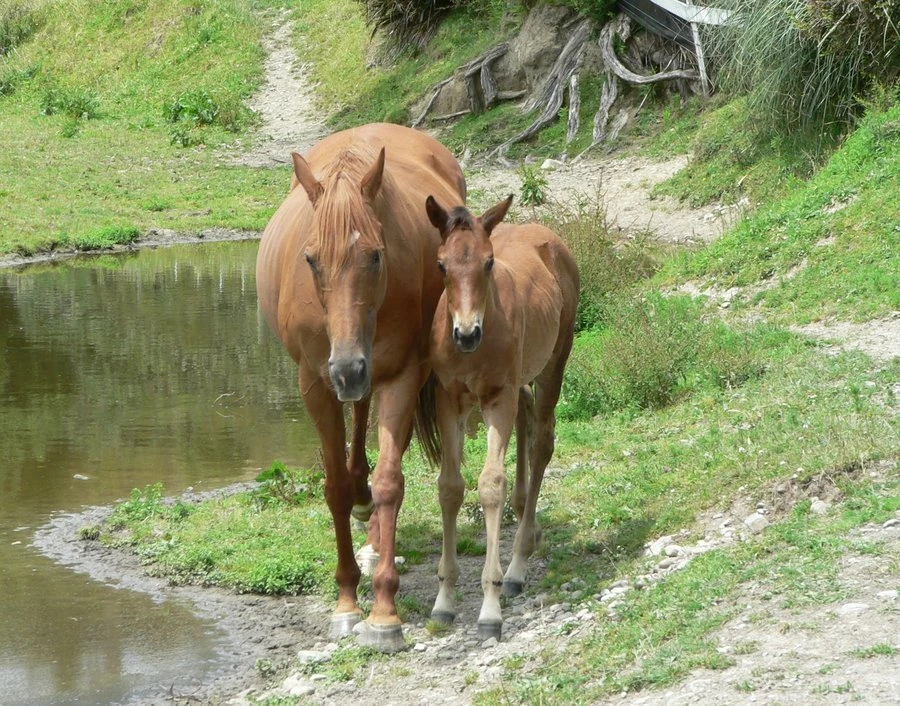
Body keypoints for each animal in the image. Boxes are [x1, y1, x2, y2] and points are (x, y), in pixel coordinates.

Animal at [256, 123, 466, 652]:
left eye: (374, 255)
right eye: (310, 259)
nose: (348, 368)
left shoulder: (402, 374)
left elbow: (391, 482)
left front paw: (384, 613)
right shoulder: (316, 383)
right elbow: (332, 486)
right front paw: (348, 601)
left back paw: (372, 527)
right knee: (355, 428)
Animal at [424, 194, 579, 639]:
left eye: (489, 262)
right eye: (441, 264)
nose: (466, 333)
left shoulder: (497, 398)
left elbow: (490, 484)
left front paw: (490, 606)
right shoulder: (447, 399)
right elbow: (450, 487)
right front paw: (444, 599)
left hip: (554, 361)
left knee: (543, 440)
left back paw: (517, 565)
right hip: (521, 379)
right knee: (528, 420)